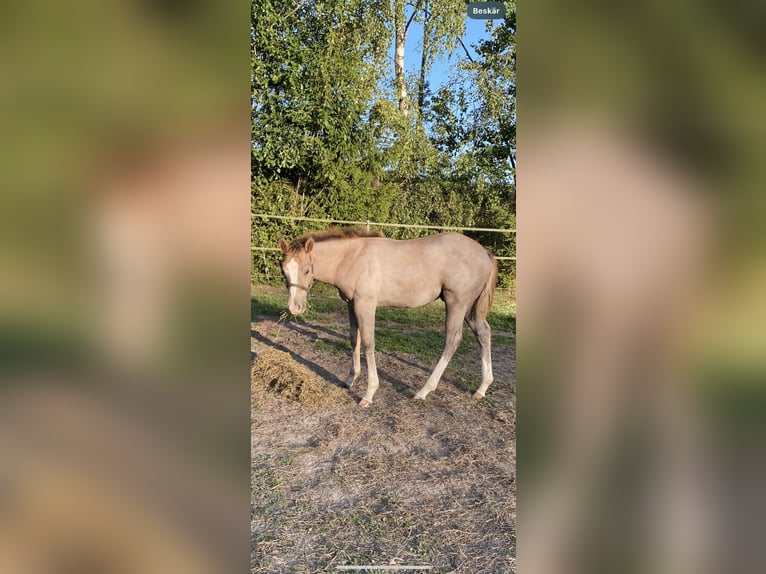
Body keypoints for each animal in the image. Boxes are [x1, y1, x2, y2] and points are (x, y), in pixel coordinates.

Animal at [280, 227, 500, 408]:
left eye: (306, 270)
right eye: (284, 271)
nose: (294, 307)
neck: (352, 257)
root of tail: (484, 253)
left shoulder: (365, 304)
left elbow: (368, 343)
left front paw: (369, 394)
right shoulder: (351, 304)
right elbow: (353, 339)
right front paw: (350, 379)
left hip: (457, 303)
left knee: (452, 340)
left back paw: (423, 391)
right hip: (470, 308)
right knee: (484, 333)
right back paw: (482, 388)